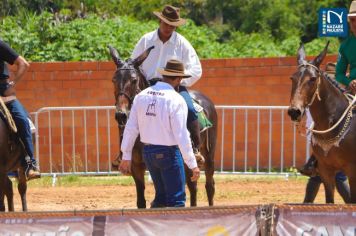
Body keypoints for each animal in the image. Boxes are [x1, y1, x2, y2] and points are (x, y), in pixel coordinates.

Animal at [108, 45, 217, 207]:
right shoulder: (136, 167)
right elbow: (141, 201)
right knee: (193, 186)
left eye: (134, 80)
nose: (121, 114)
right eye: (114, 80)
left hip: (208, 155)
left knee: (209, 186)